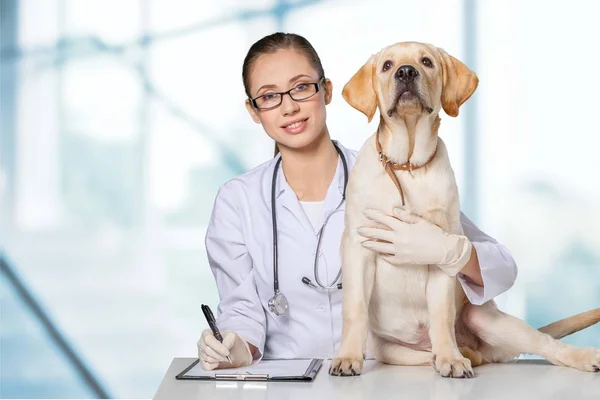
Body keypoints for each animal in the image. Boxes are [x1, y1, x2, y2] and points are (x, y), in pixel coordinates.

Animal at [328, 41, 600, 378]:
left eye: (426, 62)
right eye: (387, 65)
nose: (406, 72)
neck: (408, 166)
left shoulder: (442, 248)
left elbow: (442, 312)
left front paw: (451, 358)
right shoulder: (358, 246)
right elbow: (354, 308)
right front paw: (347, 357)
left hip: (487, 318)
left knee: (545, 344)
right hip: (389, 349)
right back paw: (460, 353)